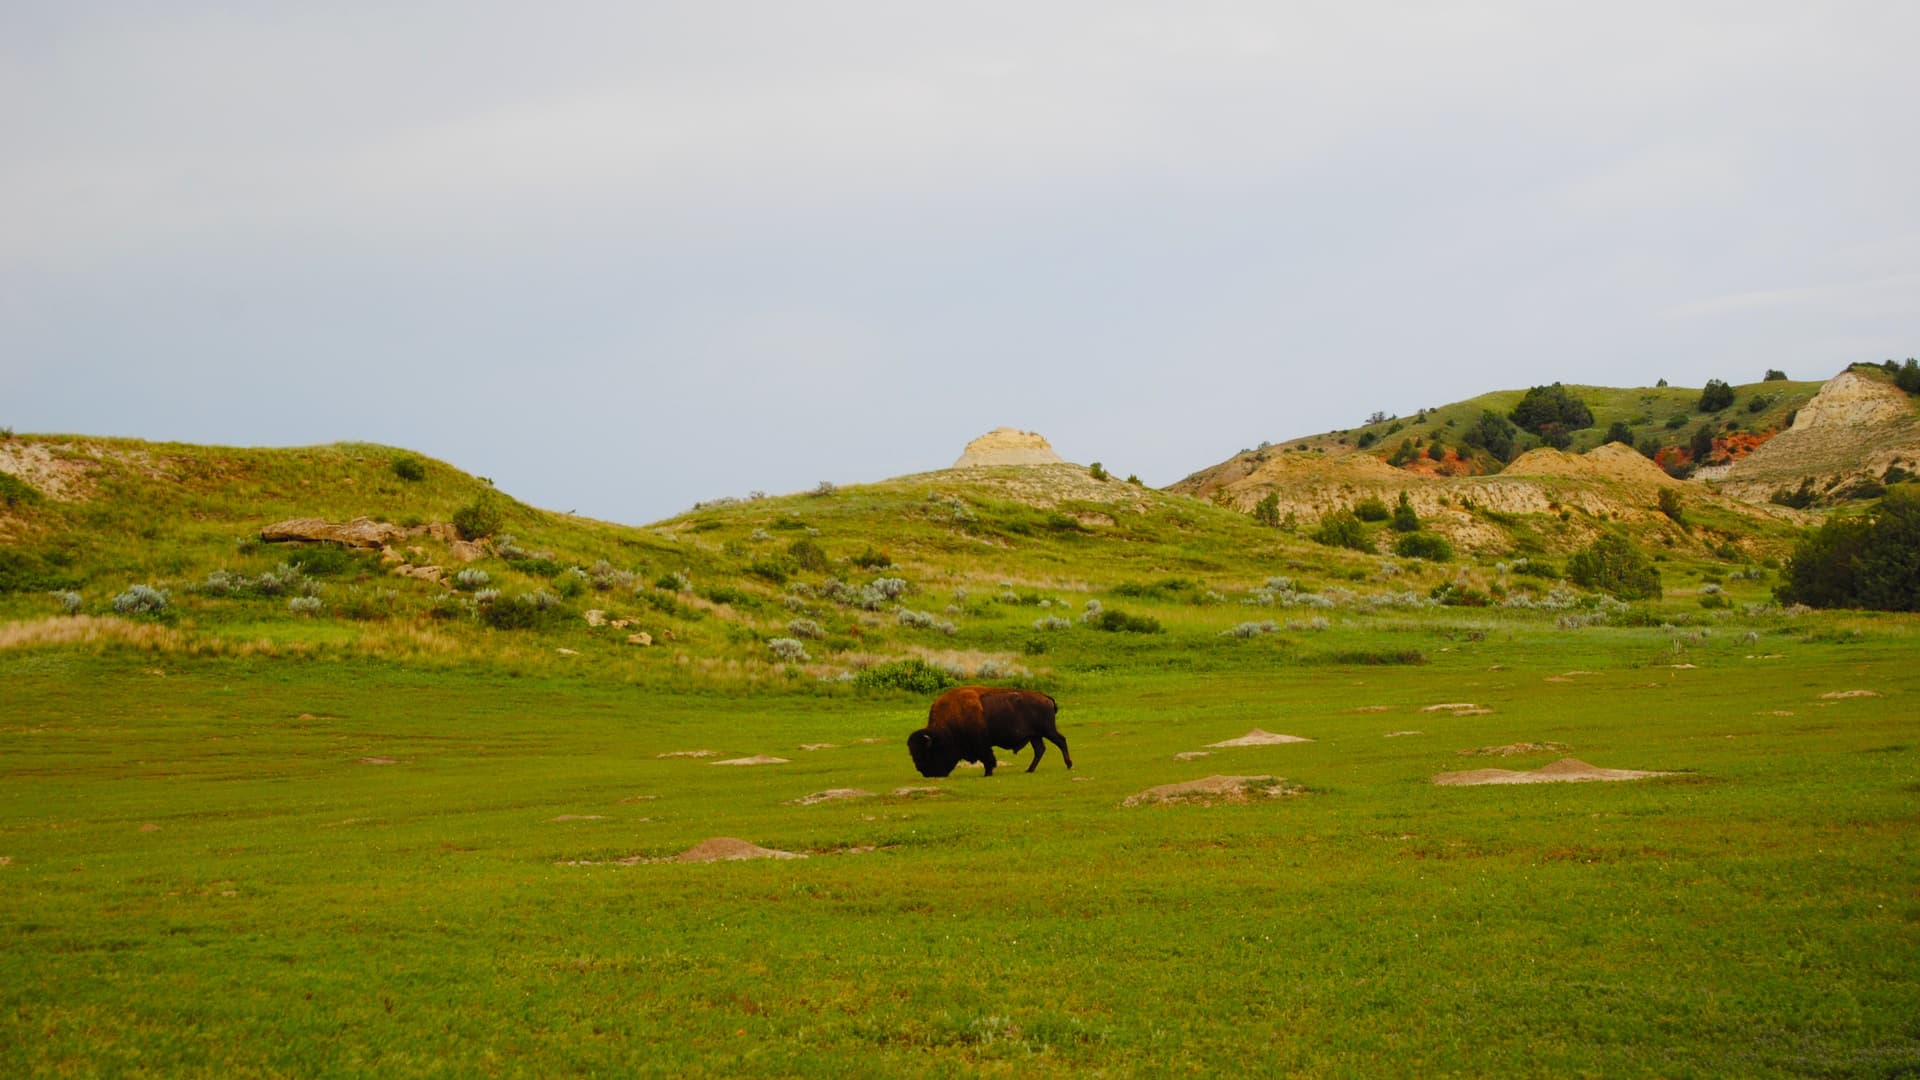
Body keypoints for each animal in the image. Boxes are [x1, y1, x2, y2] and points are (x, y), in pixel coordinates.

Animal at [907, 686, 1071, 778]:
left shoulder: (982, 745)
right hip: (1035, 736)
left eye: (925, 753)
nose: (923, 771)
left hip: (1047, 730)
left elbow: (988, 759)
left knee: (1061, 741)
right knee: (1040, 750)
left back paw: (1069, 765)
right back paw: (1029, 770)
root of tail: (1046, 697)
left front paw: (987, 773)